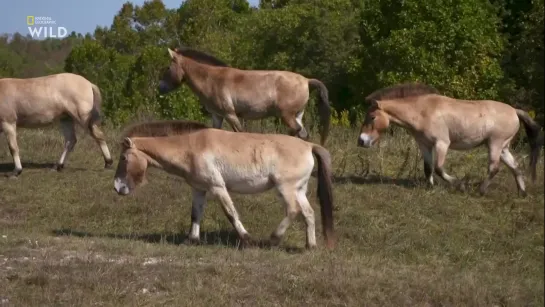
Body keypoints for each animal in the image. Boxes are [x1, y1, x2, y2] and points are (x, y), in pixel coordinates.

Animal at [112, 120, 334, 250]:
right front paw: (191, 240)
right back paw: (310, 246)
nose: (117, 187)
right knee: (309, 213)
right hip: (299, 190)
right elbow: (195, 214)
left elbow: (231, 213)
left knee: (293, 211)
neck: (190, 148)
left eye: (123, 158)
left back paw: (273, 239)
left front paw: (246, 239)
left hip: (285, 189)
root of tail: (309, 145)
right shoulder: (199, 189)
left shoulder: (218, 187)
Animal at [157, 46, 332, 146]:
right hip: (297, 115)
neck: (212, 79)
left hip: (287, 116)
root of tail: (307, 80)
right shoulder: (217, 115)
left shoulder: (230, 114)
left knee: (296, 132)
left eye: (168, 67)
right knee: (303, 134)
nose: (160, 88)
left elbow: (239, 133)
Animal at [356, 82, 540, 197]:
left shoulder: (442, 144)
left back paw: (480, 191)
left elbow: (438, 168)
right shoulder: (424, 145)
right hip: (502, 148)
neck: (423, 110)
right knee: (516, 168)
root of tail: (515, 111)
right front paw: (429, 187)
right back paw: (522, 193)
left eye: (372, 117)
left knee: (494, 168)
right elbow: (428, 167)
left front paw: (460, 185)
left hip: (495, 144)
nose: (361, 141)